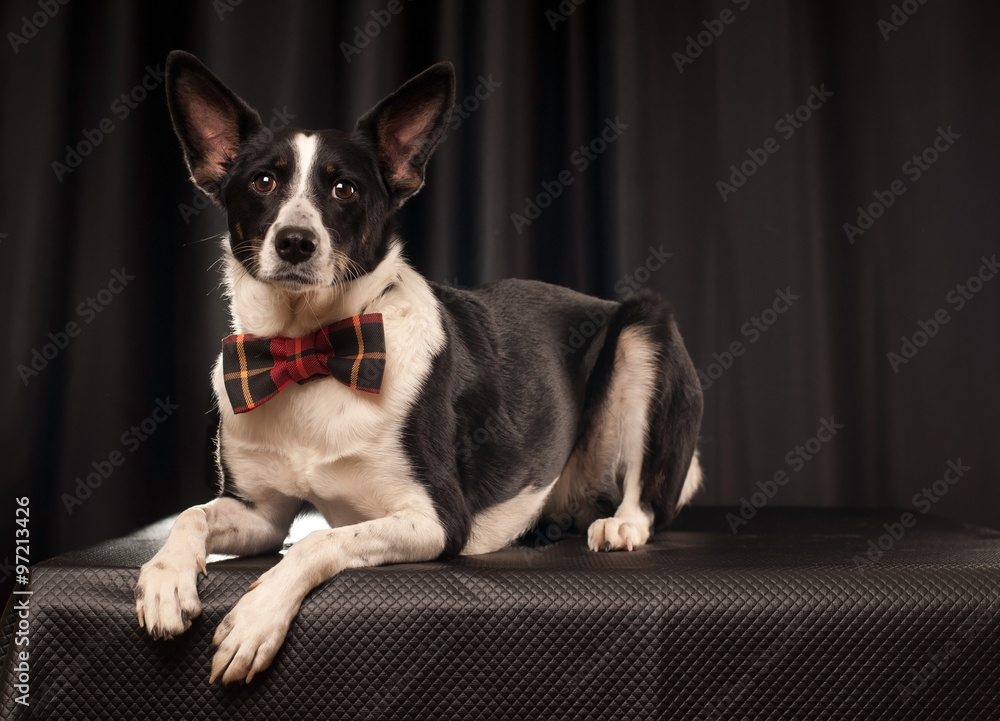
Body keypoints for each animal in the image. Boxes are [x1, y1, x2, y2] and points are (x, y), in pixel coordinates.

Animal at [135, 49, 704, 680]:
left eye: (344, 189)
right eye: (263, 181)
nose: (295, 241)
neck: (311, 350)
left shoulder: (436, 520)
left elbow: (316, 542)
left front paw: (257, 618)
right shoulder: (260, 513)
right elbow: (193, 514)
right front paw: (165, 580)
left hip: (642, 331)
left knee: (645, 493)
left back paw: (622, 523)